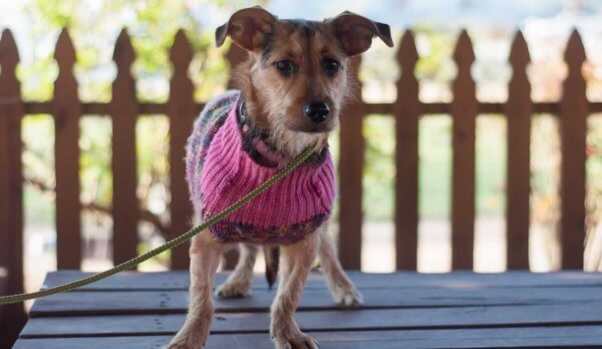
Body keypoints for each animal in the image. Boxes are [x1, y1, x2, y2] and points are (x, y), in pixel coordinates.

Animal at [168, 6, 394, 348]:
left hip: (319, 226)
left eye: (332, 65)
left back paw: (343, 287)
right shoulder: (206, 236)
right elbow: (201, 298)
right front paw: (189, 337)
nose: (320, 111)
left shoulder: (305, 239)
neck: (283, 156)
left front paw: (288, 333)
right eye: (284, 65)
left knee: (328, 250)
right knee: (248, 249)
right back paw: (239, 281)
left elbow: (289, 294)